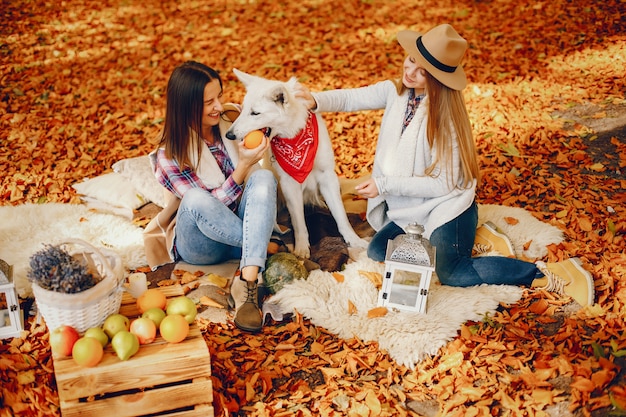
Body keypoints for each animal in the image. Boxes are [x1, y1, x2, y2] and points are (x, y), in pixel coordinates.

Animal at [225, 68, 366, 256]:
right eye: (243, 110)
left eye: (255, 113)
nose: (229, 135)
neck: (295, 136)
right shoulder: (289, 185)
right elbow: (299, 222)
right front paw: (301, 249)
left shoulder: (327, 177)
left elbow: (341, 215)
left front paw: (353, 240)